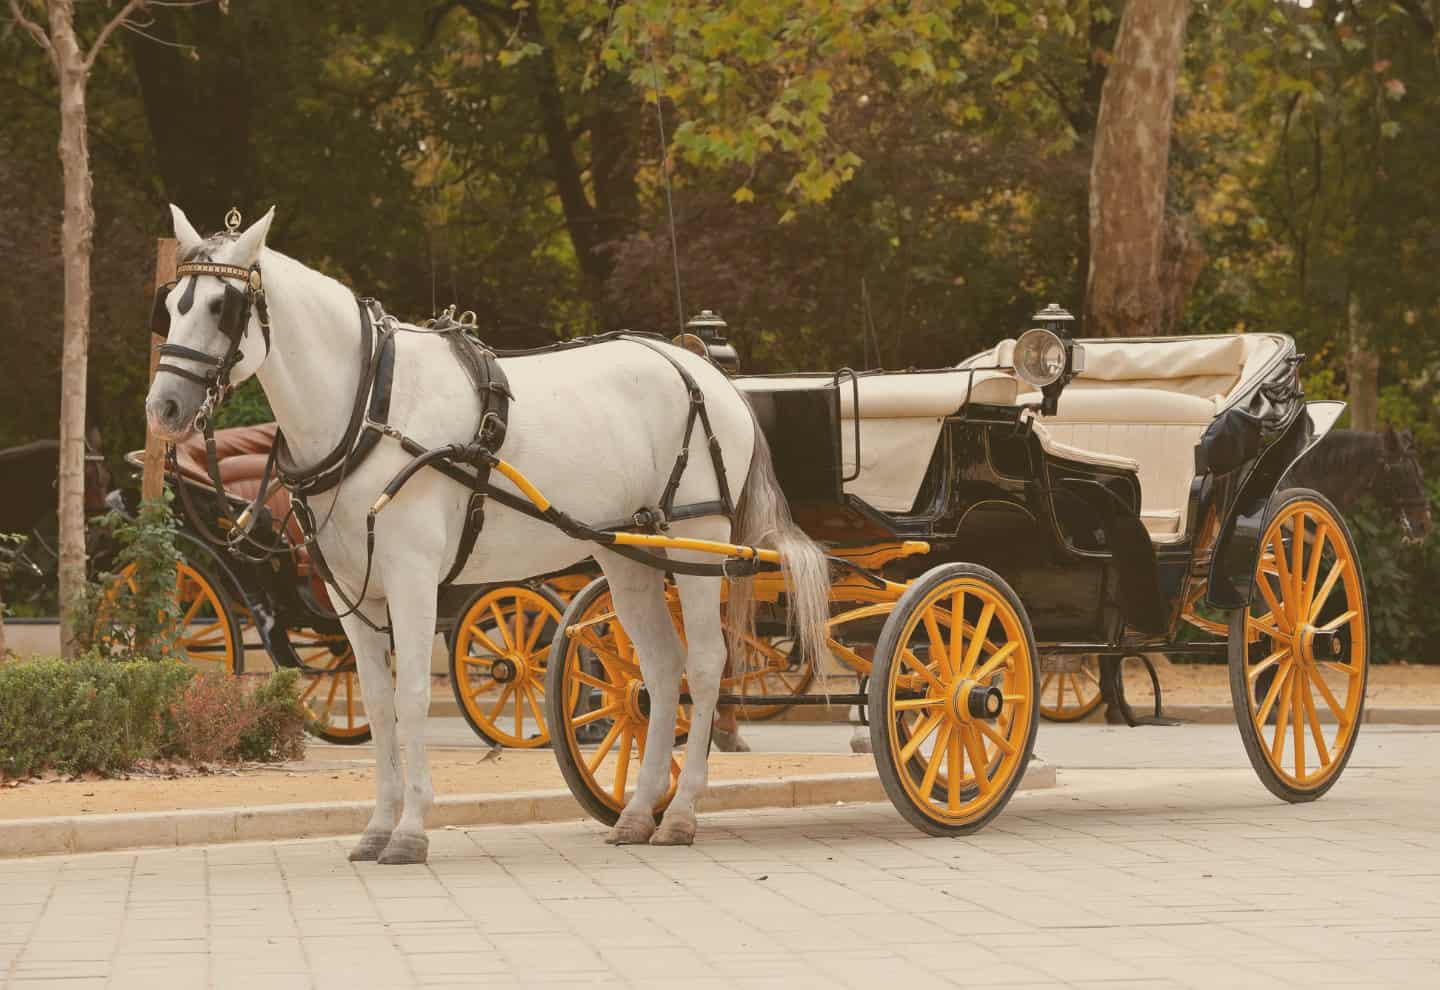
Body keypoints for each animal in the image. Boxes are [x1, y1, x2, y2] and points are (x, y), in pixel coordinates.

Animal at [147, 207, 835, 857]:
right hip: (629, 553)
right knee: (661, 670)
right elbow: (377, 703)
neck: (371, 406)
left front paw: (411, 831)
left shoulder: (413, 580)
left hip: (699, 540)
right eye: (172, 306)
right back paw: (640, 813)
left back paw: (683, 813)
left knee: (707, 663)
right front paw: (377, 828)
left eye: (222, 307)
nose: (163, 408)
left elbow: (412, 695)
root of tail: (705, 371)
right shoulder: (349, 593)